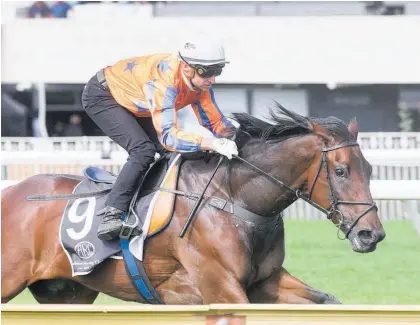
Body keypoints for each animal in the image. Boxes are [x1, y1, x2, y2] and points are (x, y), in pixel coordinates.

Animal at [1, 104, 386, 304]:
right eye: (340, 170)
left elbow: (326, 300)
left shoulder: (265, 282)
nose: (372, 235)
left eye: (369, 169)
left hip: (67, 292)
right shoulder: (221, 288)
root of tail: (11, 192)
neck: (232, 198)